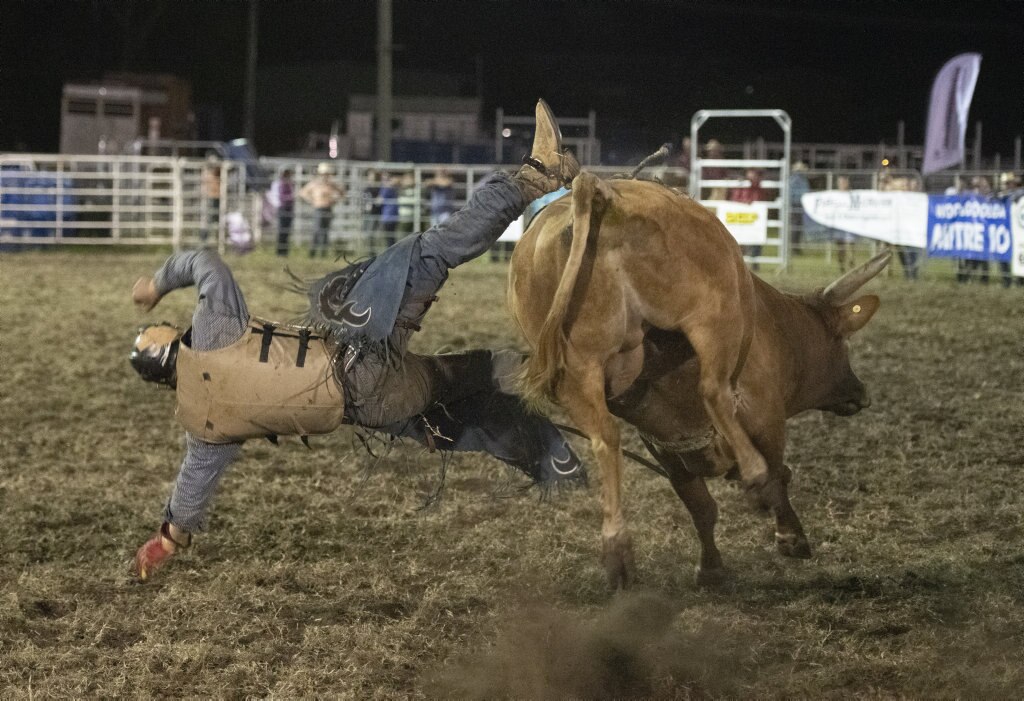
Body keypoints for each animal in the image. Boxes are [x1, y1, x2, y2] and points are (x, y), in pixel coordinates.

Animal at [512, 170, 888, 585]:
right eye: (841, 345)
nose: (862, 394)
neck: (777, 324)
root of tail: (599, 191)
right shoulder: (766, 418)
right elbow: (775, 473)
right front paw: (790, 535)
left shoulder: (668, 451)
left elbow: (702, 507)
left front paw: (711, 567)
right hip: (712, 320)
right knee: (714, 392)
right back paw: (752, 475)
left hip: (578, 369)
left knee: (605, 438)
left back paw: (617, 550)